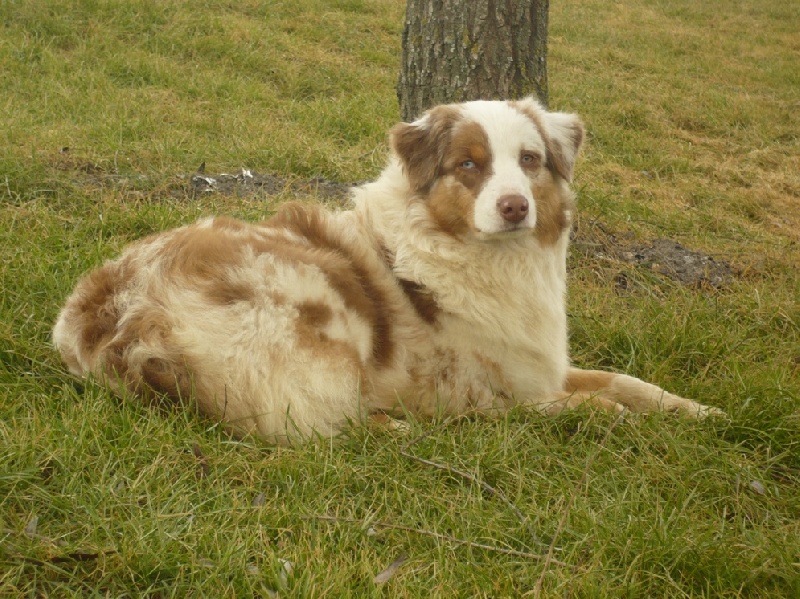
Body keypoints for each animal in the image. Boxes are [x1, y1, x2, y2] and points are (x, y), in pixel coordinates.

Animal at [53, 98, 720, 442]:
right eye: (469, 164)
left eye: (530, 160)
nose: (515, 206)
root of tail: (111, 322)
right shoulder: (468, 389)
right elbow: (543, 406)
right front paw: (603, 415)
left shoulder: (538, 365)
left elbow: (624, 380)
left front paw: (697, 411)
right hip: (320, 319)